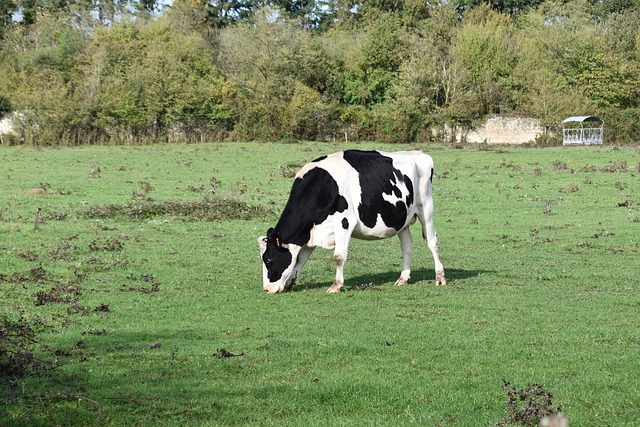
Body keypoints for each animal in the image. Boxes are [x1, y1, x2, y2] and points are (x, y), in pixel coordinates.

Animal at [256, 150, 444, 294]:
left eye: (268, 260)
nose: (267, 289)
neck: (321, 187)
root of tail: (420, 154)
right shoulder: (311, 231)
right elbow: (300, 258)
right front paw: (290, 282)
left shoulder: (344, 222)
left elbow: (338, 257)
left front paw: (336, 286)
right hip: (401, 218)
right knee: (406, 245)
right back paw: (403, 278)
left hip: (425, 208)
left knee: (432, 241)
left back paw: (440, 277)